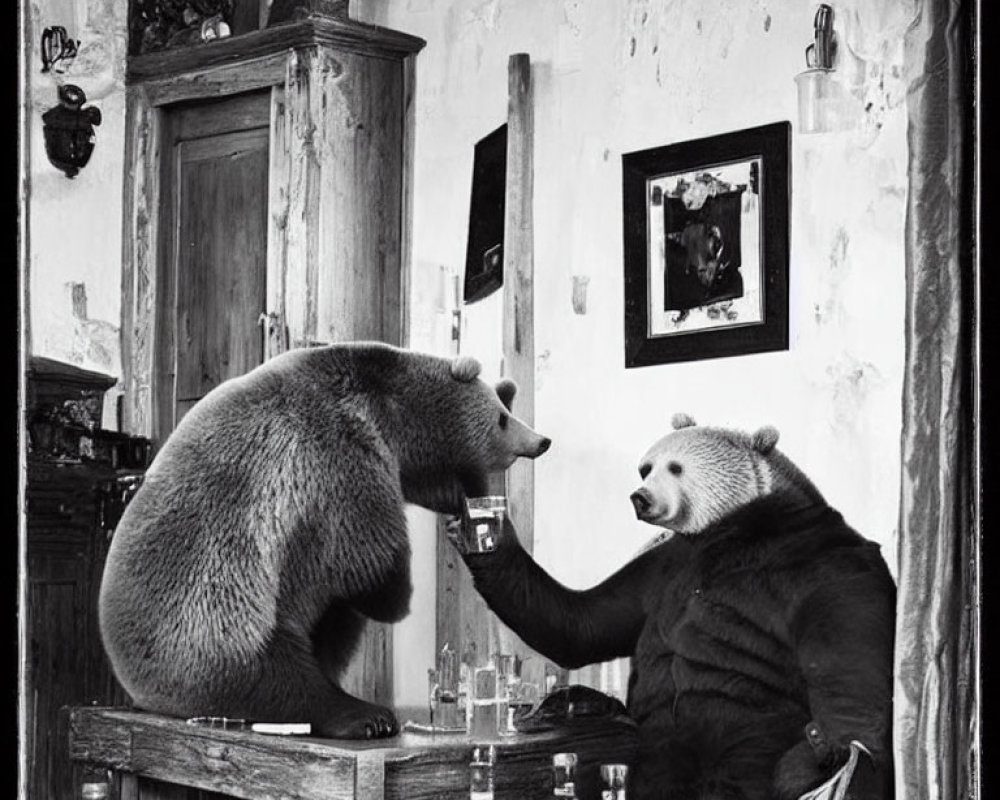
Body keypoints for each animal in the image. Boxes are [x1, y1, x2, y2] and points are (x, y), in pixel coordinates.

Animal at [100, 340, 552, 740]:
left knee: (329, 626)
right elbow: (370, 559)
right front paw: (398, 588)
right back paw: (364, 716)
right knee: (276, 675)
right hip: (213, 618)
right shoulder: (335, 452)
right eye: (502, 419)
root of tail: (135, 685)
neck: (392, 413)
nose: (542, 440)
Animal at [450, 416, 896, 796]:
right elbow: (584, 622)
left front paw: (829, 759)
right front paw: (480, 529)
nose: (640, 497)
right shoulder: (660, 570)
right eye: (646, 468)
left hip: (749, 730)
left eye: (676, 468)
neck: (729, 529)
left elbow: (847, 652)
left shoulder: (815, 560)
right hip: (658, 744)